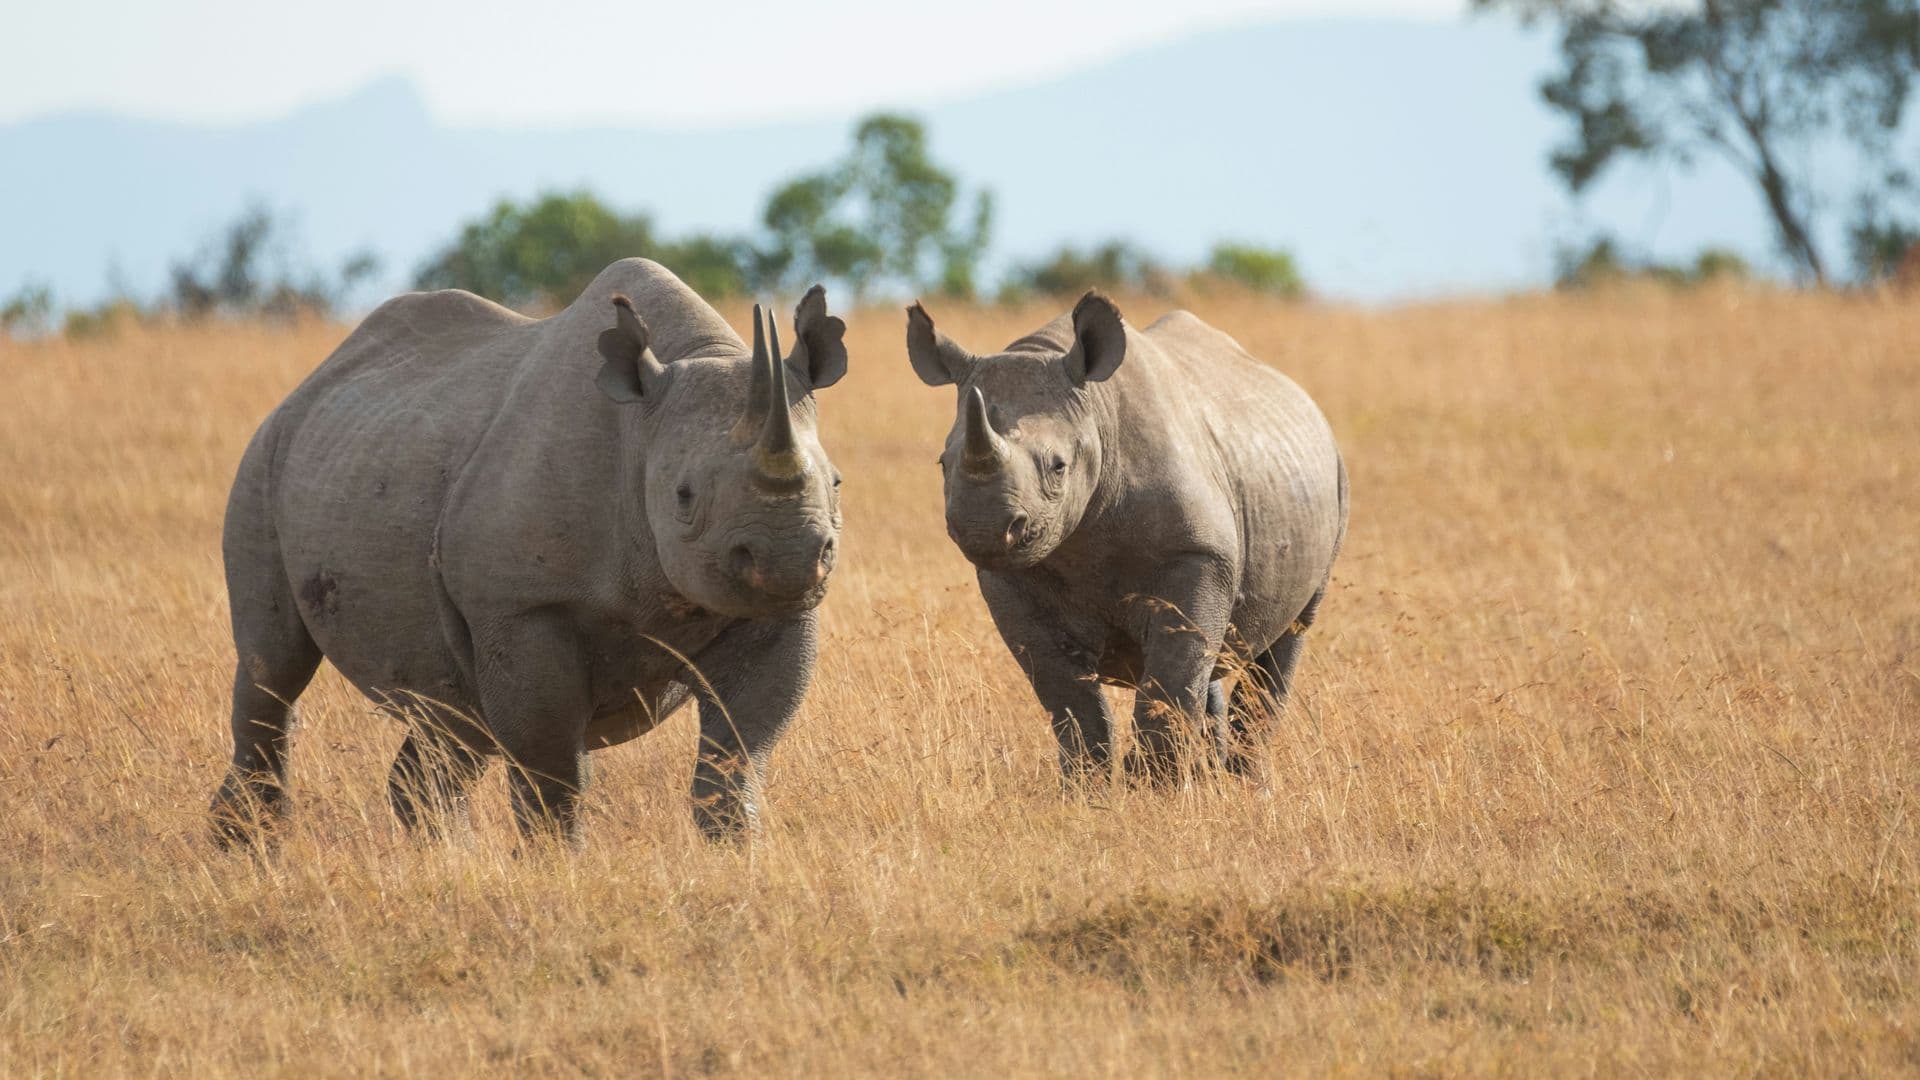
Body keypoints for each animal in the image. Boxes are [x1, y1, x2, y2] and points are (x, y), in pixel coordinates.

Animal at [208, 259, 847, 844]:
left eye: (836, 484)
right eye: (683, 496)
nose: (789, 559)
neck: (641, 432)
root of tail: (310, 383)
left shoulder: (768, 614)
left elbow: (736, 754)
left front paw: (736, 852)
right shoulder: (520, 606)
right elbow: (552, 769)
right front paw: (559, 865)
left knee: (452, 714)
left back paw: (446, 856)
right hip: (264, 459)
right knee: (274, 668)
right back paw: (248, 848)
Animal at [905, 293, 1347, 781]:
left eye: (1058, 466)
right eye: (943, 463)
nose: (983, 529)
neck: (1095, 414)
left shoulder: (1197, 553)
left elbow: (1172, 674)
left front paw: (1156, 787)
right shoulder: (1008, 578)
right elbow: (1067, 695)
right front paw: (1087, 788)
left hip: (1333, 478)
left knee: (1285, 638)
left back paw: (1243, 783)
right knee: (1208, 664)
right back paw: (1212, 779)